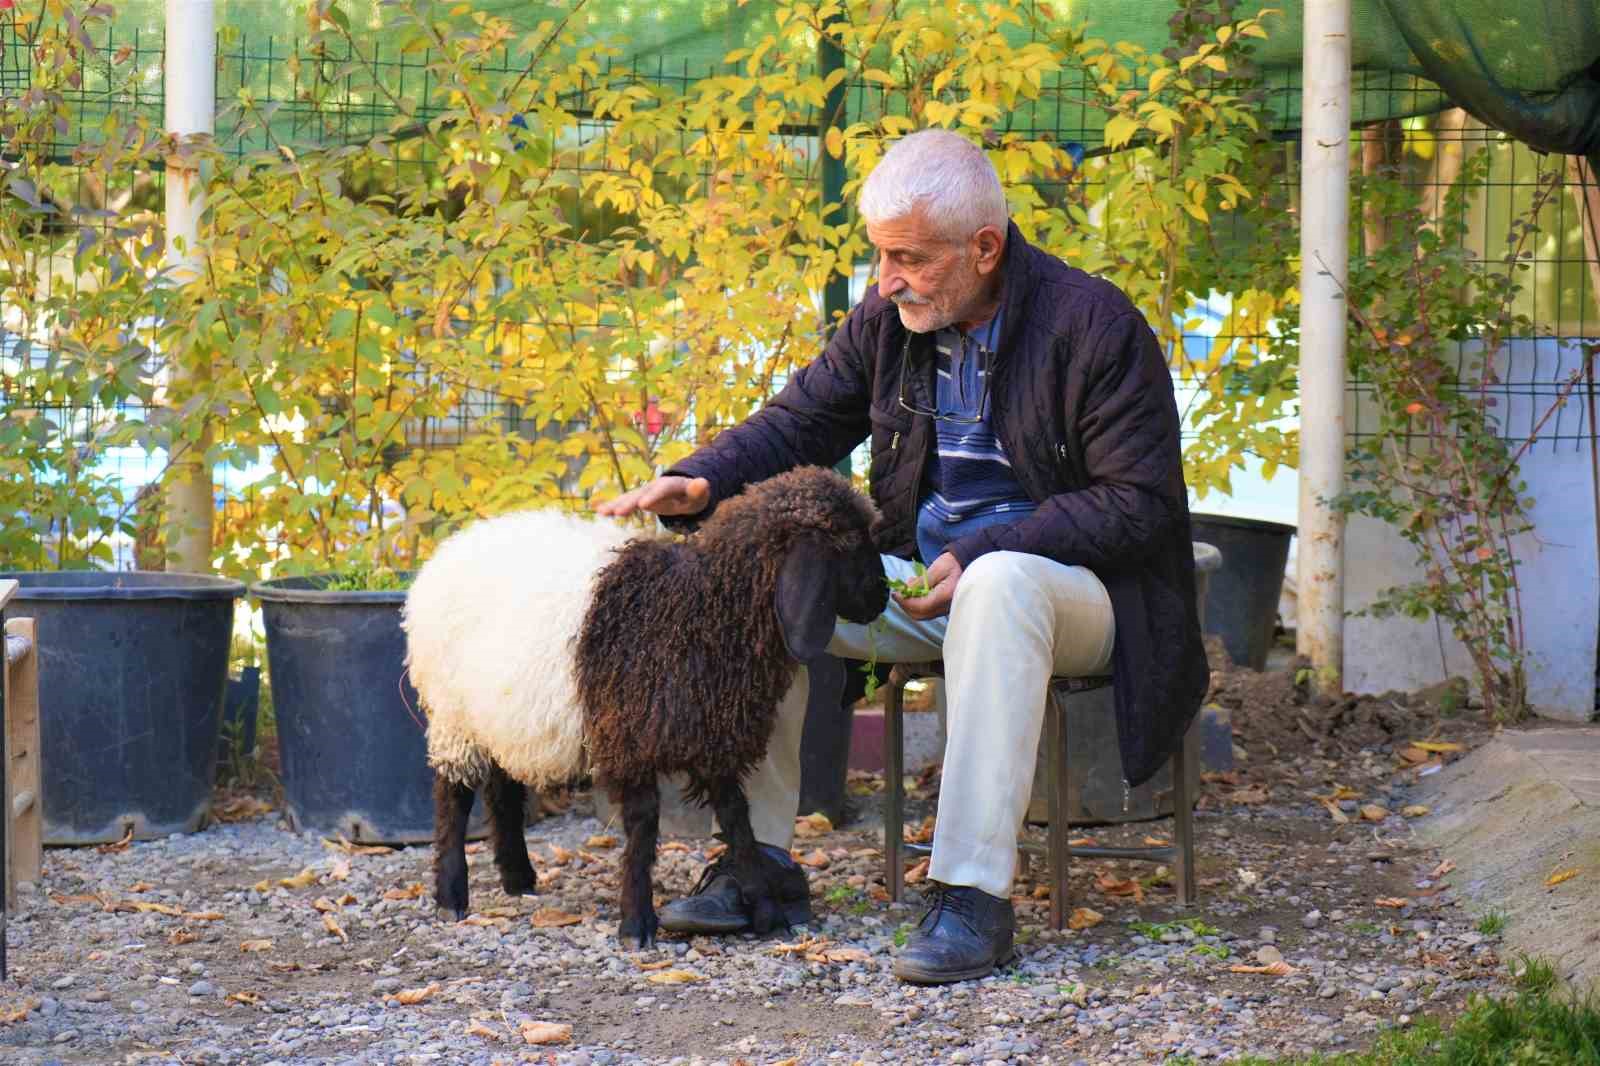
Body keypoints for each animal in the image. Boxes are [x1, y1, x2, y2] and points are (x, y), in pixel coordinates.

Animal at [403, 464, 889, 941]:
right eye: (850, 542)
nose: (884, 596)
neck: (701, 609)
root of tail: (453, 547)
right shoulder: (630, 737)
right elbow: (643, 828)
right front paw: (636, 923)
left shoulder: (715, 739)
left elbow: (739, 825)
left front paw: (768, 913)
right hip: (454, 715)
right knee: (453, 796)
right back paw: (451, 896)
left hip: (502, 712)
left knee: (503, 789)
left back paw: (518, 878)